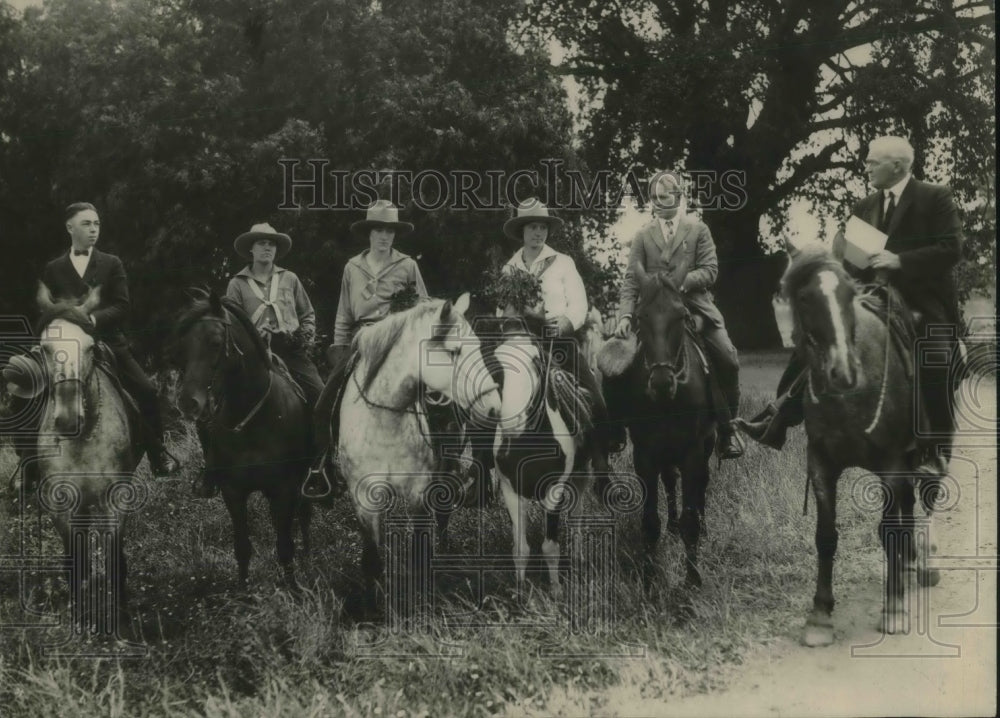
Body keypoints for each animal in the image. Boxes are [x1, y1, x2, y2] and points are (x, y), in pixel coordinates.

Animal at [174, 292, 310, 592]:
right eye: (184, 346)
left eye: (215, 343)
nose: (188, 402)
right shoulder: (233, 492)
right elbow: (242, 547)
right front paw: (244, 592)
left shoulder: (284, 489)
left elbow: (285, 545)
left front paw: (294, 589)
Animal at [784, 245, 940, 648]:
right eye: (805, 298)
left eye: (848, 294)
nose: (843, 372)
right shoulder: (821, 465)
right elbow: (826, 536)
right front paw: (820, 616)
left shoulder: (890, 465)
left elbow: (888, 531)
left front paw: (894, 608)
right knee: (908, 505)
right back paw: (909, 561)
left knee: (920, 499)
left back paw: (922, 565)